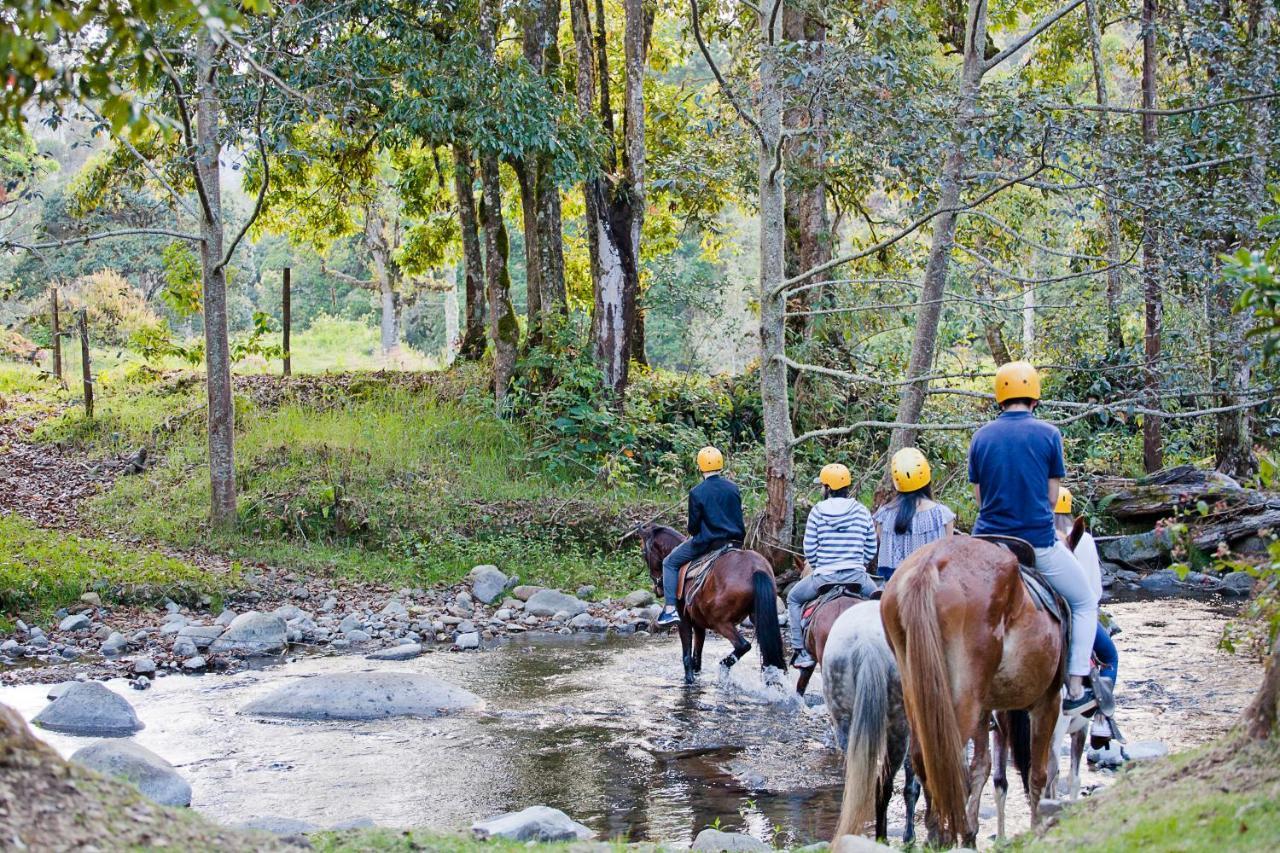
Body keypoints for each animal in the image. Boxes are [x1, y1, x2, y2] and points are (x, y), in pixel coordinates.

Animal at [634, 522, 783, 681]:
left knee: (743, 645)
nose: (657, 589)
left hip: (720, 622)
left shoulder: (684, 621)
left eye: (644, 553)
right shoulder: (698, 624)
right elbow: (697, 657)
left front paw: (689, 679)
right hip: (758, 618)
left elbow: (687, 656)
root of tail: (755, 569)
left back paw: (723, 666)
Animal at [870, 525, 1080, 845]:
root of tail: (931, 564)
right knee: (946, 757)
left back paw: (937, 831)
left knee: (925, 756)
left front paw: (970, 832)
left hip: (918, 692)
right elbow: (1037, 772)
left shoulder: (986, 709)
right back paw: (944, 832)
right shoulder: (1047, 701)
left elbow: (981, 767)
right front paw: (1035, 828)